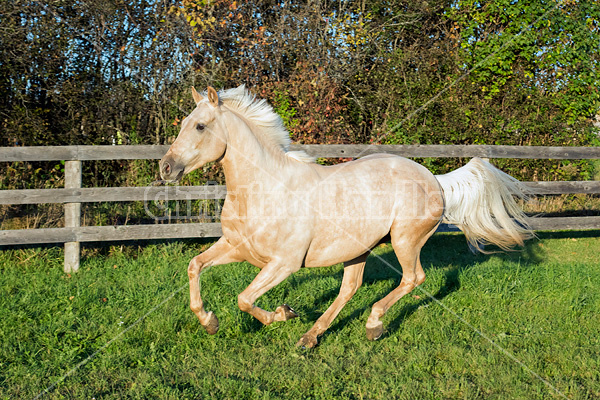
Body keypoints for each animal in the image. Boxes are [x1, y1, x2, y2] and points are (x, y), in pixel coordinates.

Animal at [159, 85, 528, 346]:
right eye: (184, 123)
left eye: (200, 126)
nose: (166, 167)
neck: (265, 189)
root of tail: (435, 179)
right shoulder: (237, 248)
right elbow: (195, 266)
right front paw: (210, 322)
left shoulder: (284, 263)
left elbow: (245, 299)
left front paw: (284, 313)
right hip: (358, 248)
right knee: (350, 288)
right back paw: (310, 338)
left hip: (405, 240)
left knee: (413, 278)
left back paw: (373, 326)